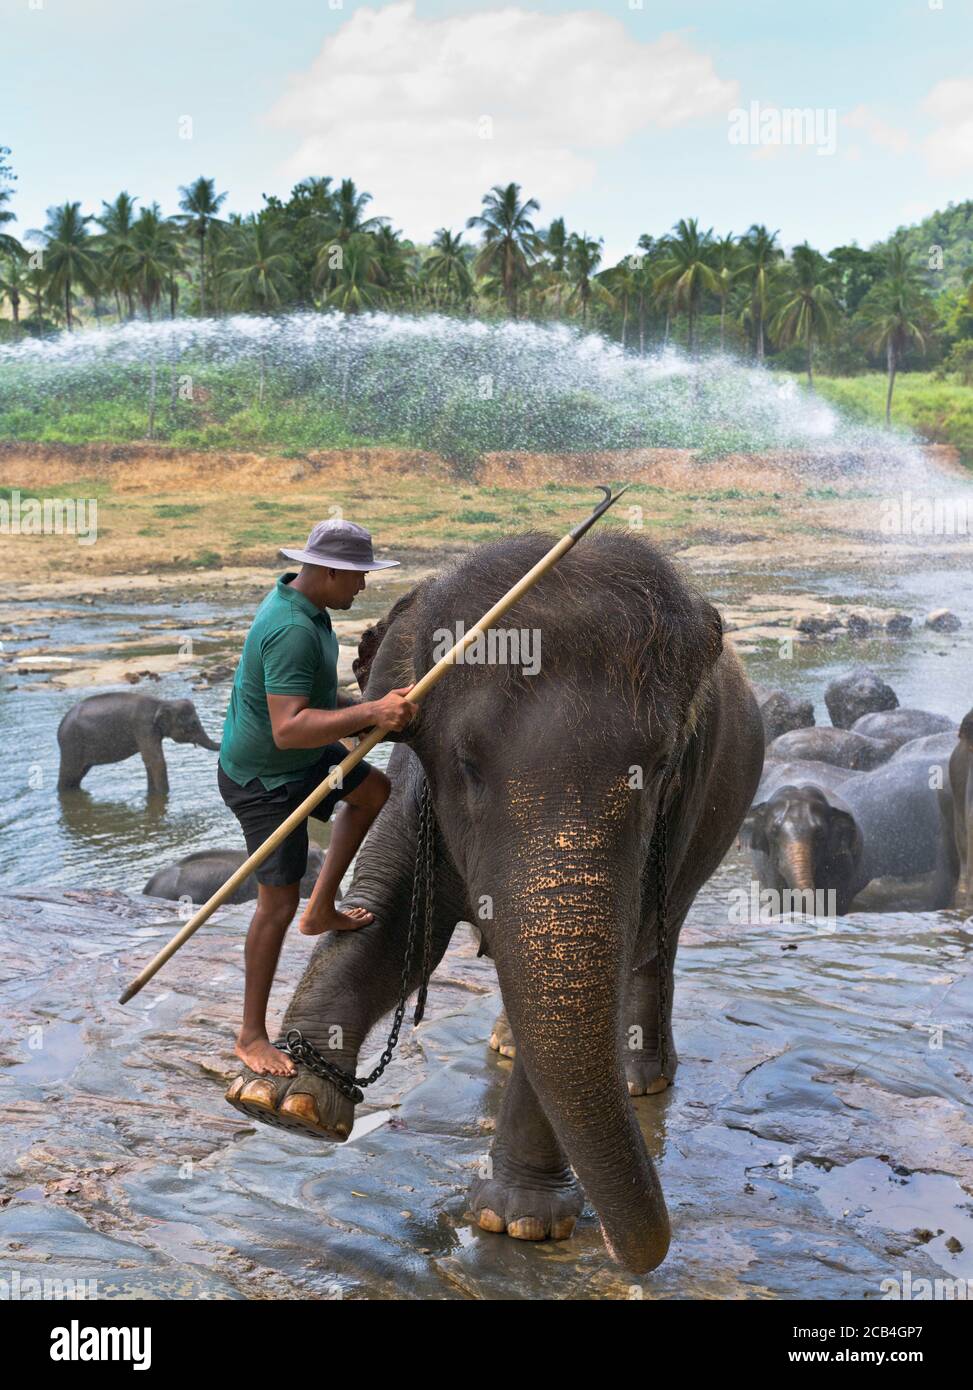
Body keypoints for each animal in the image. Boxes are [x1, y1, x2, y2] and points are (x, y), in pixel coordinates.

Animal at [56, 692, 221, 795]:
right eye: (193, 724)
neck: (162, 702)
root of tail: (60, 726)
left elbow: (149, 762)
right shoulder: (143, 726)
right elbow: (156, 761)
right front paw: (165, 794)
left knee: (77, 776)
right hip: (72, 745)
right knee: (69, 774)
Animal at [222, 528, 767, 1273]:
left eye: (656, 770)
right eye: (468, 765)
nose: (641, 1253)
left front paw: (518, 1222)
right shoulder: (415, 781)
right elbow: (394, 925)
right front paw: (281, 1101)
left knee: (657, 943)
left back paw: (637, 1080)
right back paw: (509, 1045)